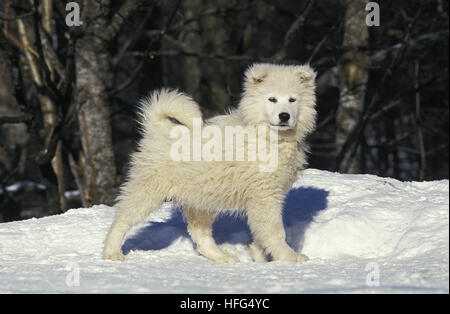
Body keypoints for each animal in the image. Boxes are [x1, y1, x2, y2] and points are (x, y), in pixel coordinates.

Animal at [102, 63, 316, 262]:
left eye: (292, 100)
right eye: (272, 99)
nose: (284, 116)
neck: (267, 135)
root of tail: (159, 127)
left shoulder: (268, 196)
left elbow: (261, 233)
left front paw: (260, 257)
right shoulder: (265, 195)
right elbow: (275, 231)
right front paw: (289, 257)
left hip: (202, 198)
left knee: (200, 234)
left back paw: (223, 257)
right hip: (149, 189)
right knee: (121, 219)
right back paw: (111, 253)